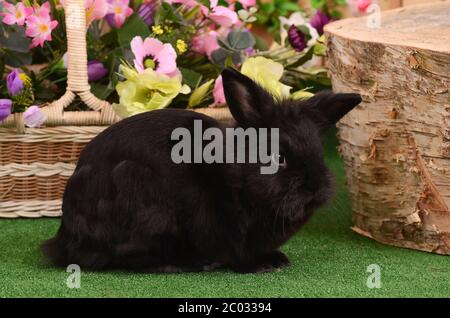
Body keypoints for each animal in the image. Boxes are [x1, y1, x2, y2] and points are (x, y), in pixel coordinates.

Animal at [43, 68, 362, 272]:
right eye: (278, 157)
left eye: (319, 153)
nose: (315, 187)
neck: (237, 176)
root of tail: (65, 237)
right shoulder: (219, 221)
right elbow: (236, 250)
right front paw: (260, 266)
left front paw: (277, 259)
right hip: (137, 188)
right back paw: (189, 264)